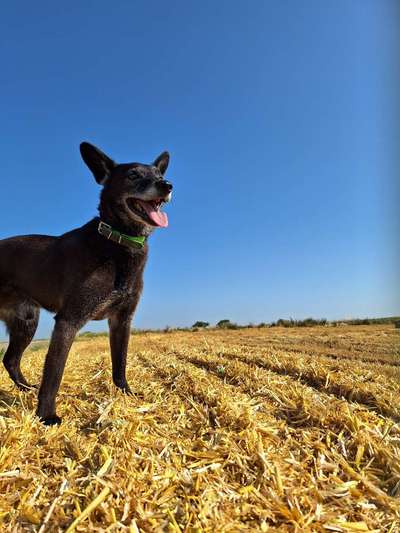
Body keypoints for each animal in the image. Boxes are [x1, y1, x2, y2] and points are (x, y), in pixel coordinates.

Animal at [0, 142, 172, 424]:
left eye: (158, 174)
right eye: (133, 175)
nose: (167, 185)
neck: (116, 242)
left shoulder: (121, 320)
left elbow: (120, 363)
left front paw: (127, 394)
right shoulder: (68, 321)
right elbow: (54, 375)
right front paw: (47, 416)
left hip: (26, 322)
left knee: (11, 360)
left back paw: (26, 389)